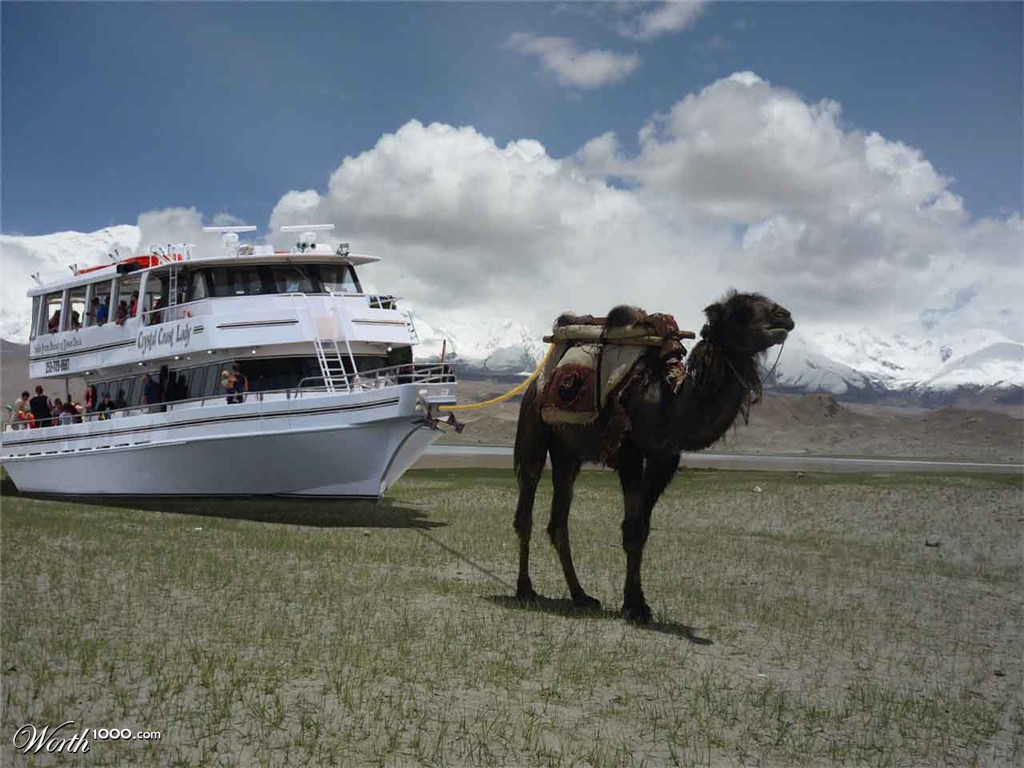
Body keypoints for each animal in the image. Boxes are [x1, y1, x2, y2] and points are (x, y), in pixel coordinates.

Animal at [513, 291, 794, 623]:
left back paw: (581, 596)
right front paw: (635, 607)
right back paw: (525, 590)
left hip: (568, 453)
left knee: (558, 521)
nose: (784, 316)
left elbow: (643, 528)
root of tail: (538, 381)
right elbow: (633, 528)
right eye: (741, 311)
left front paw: (637, 602)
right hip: (533, 426)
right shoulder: (628, 451)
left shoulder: (666, 457)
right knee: (526, 506)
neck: (668, 403)